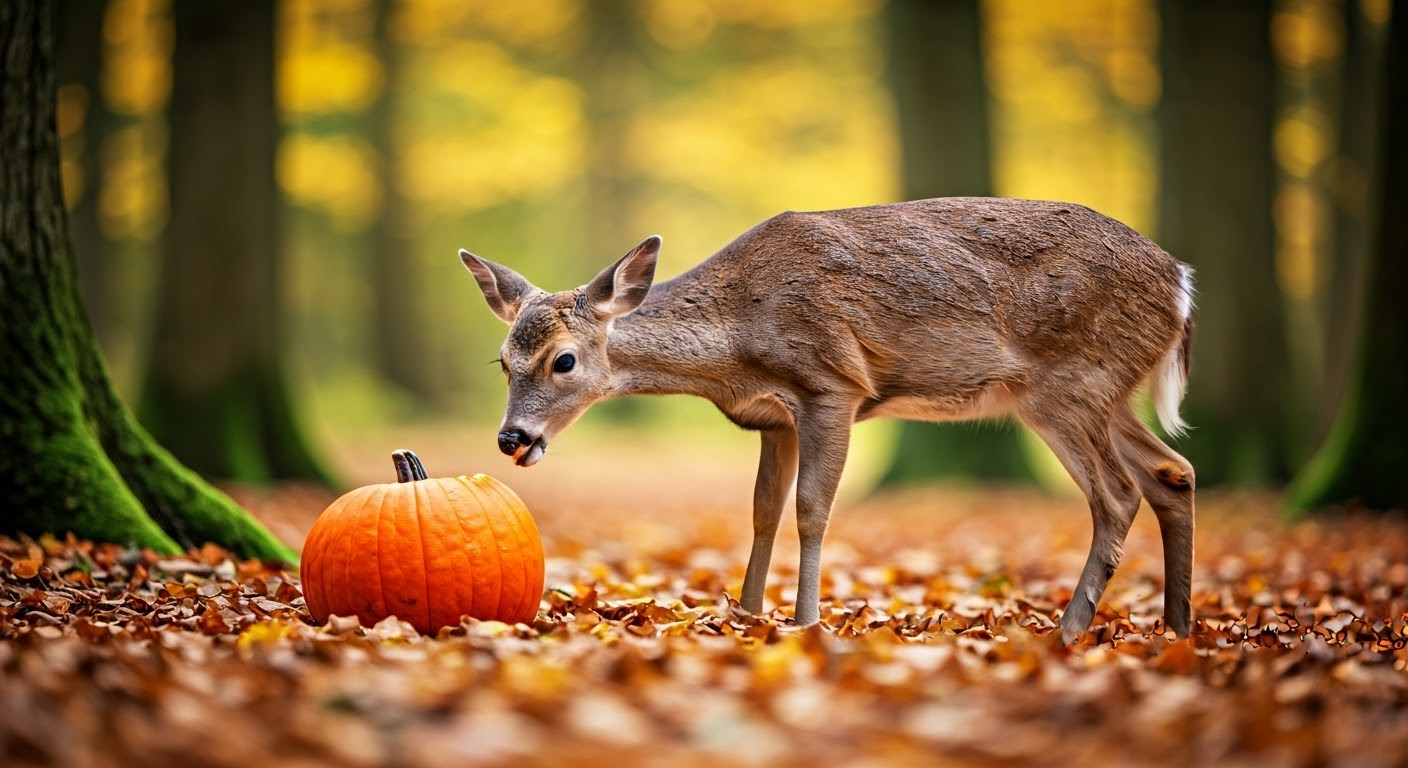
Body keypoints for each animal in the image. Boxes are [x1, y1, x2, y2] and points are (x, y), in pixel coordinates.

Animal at [461, 197, 1199, 639]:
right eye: (502, 361)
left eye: (563, 360)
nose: (511, 437)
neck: (738, 344)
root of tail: (1182, 283)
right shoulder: (773, 418)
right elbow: (762, 511)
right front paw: (746, 613)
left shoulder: (831, 386)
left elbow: (812, 509)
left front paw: (804, 621)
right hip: (1107, 392)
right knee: (1174, 471)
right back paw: (1178, 626)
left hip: (1068, 384)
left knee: (1118, 493)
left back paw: (1071, 631)